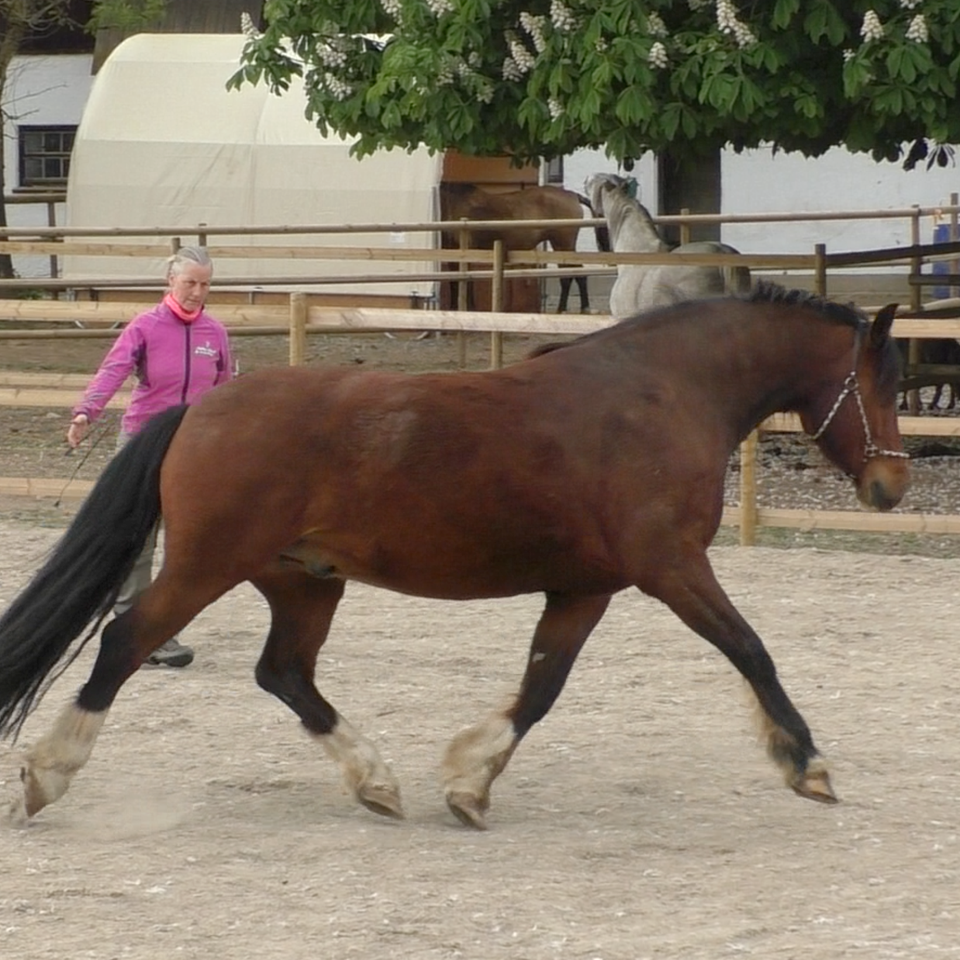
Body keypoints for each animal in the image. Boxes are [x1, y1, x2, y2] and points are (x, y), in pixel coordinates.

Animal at [0, 283, 909, 830]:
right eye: (885, 383)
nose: (893, 484)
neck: (664, 393)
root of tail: (197, 410)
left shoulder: (585, 590)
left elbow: (540, 688)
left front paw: (469, 784)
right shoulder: (672, 569)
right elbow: (751, 650)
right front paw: (808, 764)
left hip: (304, 583)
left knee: (284, 673)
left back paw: (374, 780)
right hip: (205, 568)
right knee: (125, 642)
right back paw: (48, 772)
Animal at [440, 182, 607, 313]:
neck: (453, 202)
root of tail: (573, 195)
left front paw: (468, 307)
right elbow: (453, 278)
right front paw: (454, 307)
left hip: (563, 245)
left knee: (573, 275)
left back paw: (570, 308)